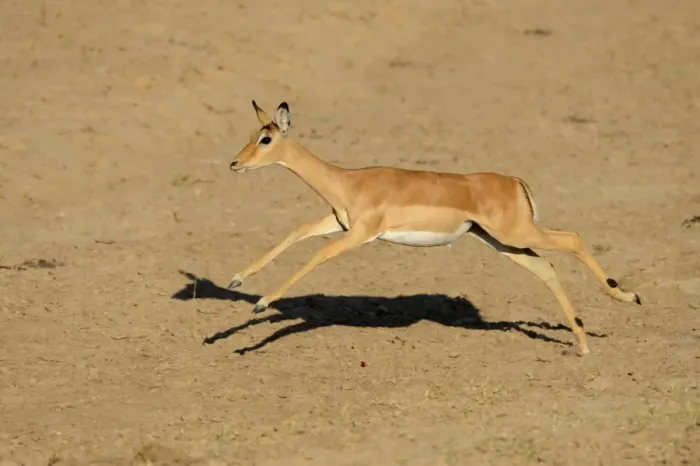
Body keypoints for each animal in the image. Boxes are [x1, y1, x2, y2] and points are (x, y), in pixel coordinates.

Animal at [226, 100, 641, 355]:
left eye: (266, 138)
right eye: (251, 135)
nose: (235, 163)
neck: (347, 181)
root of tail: (515, 182)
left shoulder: (359, 235)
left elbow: (318, 254)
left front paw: (260, 305)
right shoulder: (338, 222)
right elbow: (295, 232)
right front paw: (236, 281)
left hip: (515, 234)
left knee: (572, 239)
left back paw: (627, 298)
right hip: (499, 241)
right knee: (546, 267)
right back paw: (582, 342)